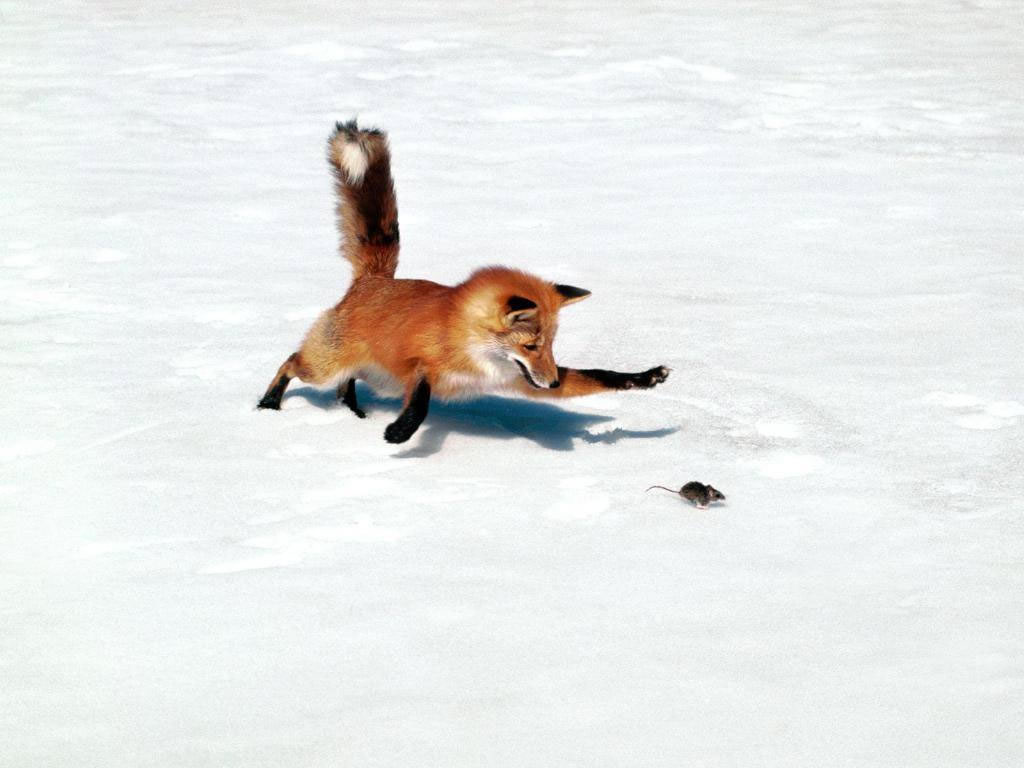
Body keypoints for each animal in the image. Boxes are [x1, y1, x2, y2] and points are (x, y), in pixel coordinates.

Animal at [260, 121, 667, 444]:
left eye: (551, 345)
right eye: (531, 345)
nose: (552, 382)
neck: (472, 347)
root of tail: (373, 279)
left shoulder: (519, 379)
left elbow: (600, 375)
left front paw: (644, 378)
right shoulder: (420, 365)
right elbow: (421, 400)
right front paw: (401, 432)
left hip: (369, 375)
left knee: (345, 385)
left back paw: (352, 413)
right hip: (324, 367)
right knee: (291, 363)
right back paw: (268, 404)